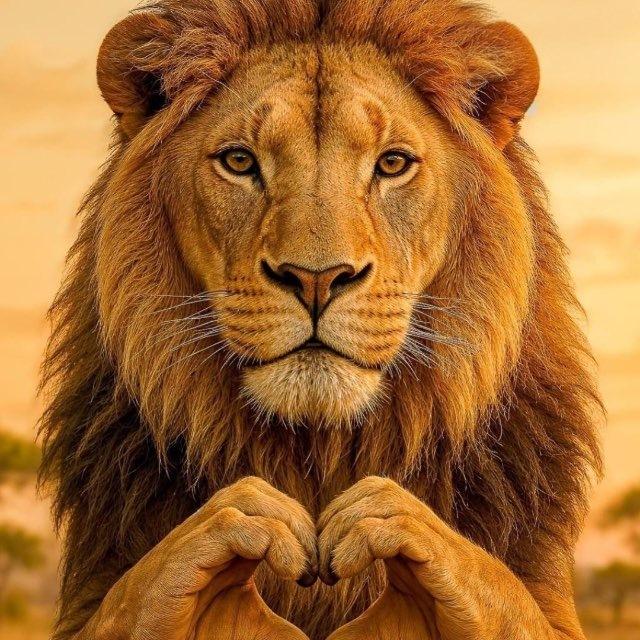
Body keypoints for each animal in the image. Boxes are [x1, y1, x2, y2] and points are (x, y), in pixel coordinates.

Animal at [39, 1, 602, 639]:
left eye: (392, 163)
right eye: (239, 161)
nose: (315, 278)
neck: (318, 453)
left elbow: (501, 591)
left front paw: (393, 522)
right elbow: (135, 593)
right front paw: (240, 524)